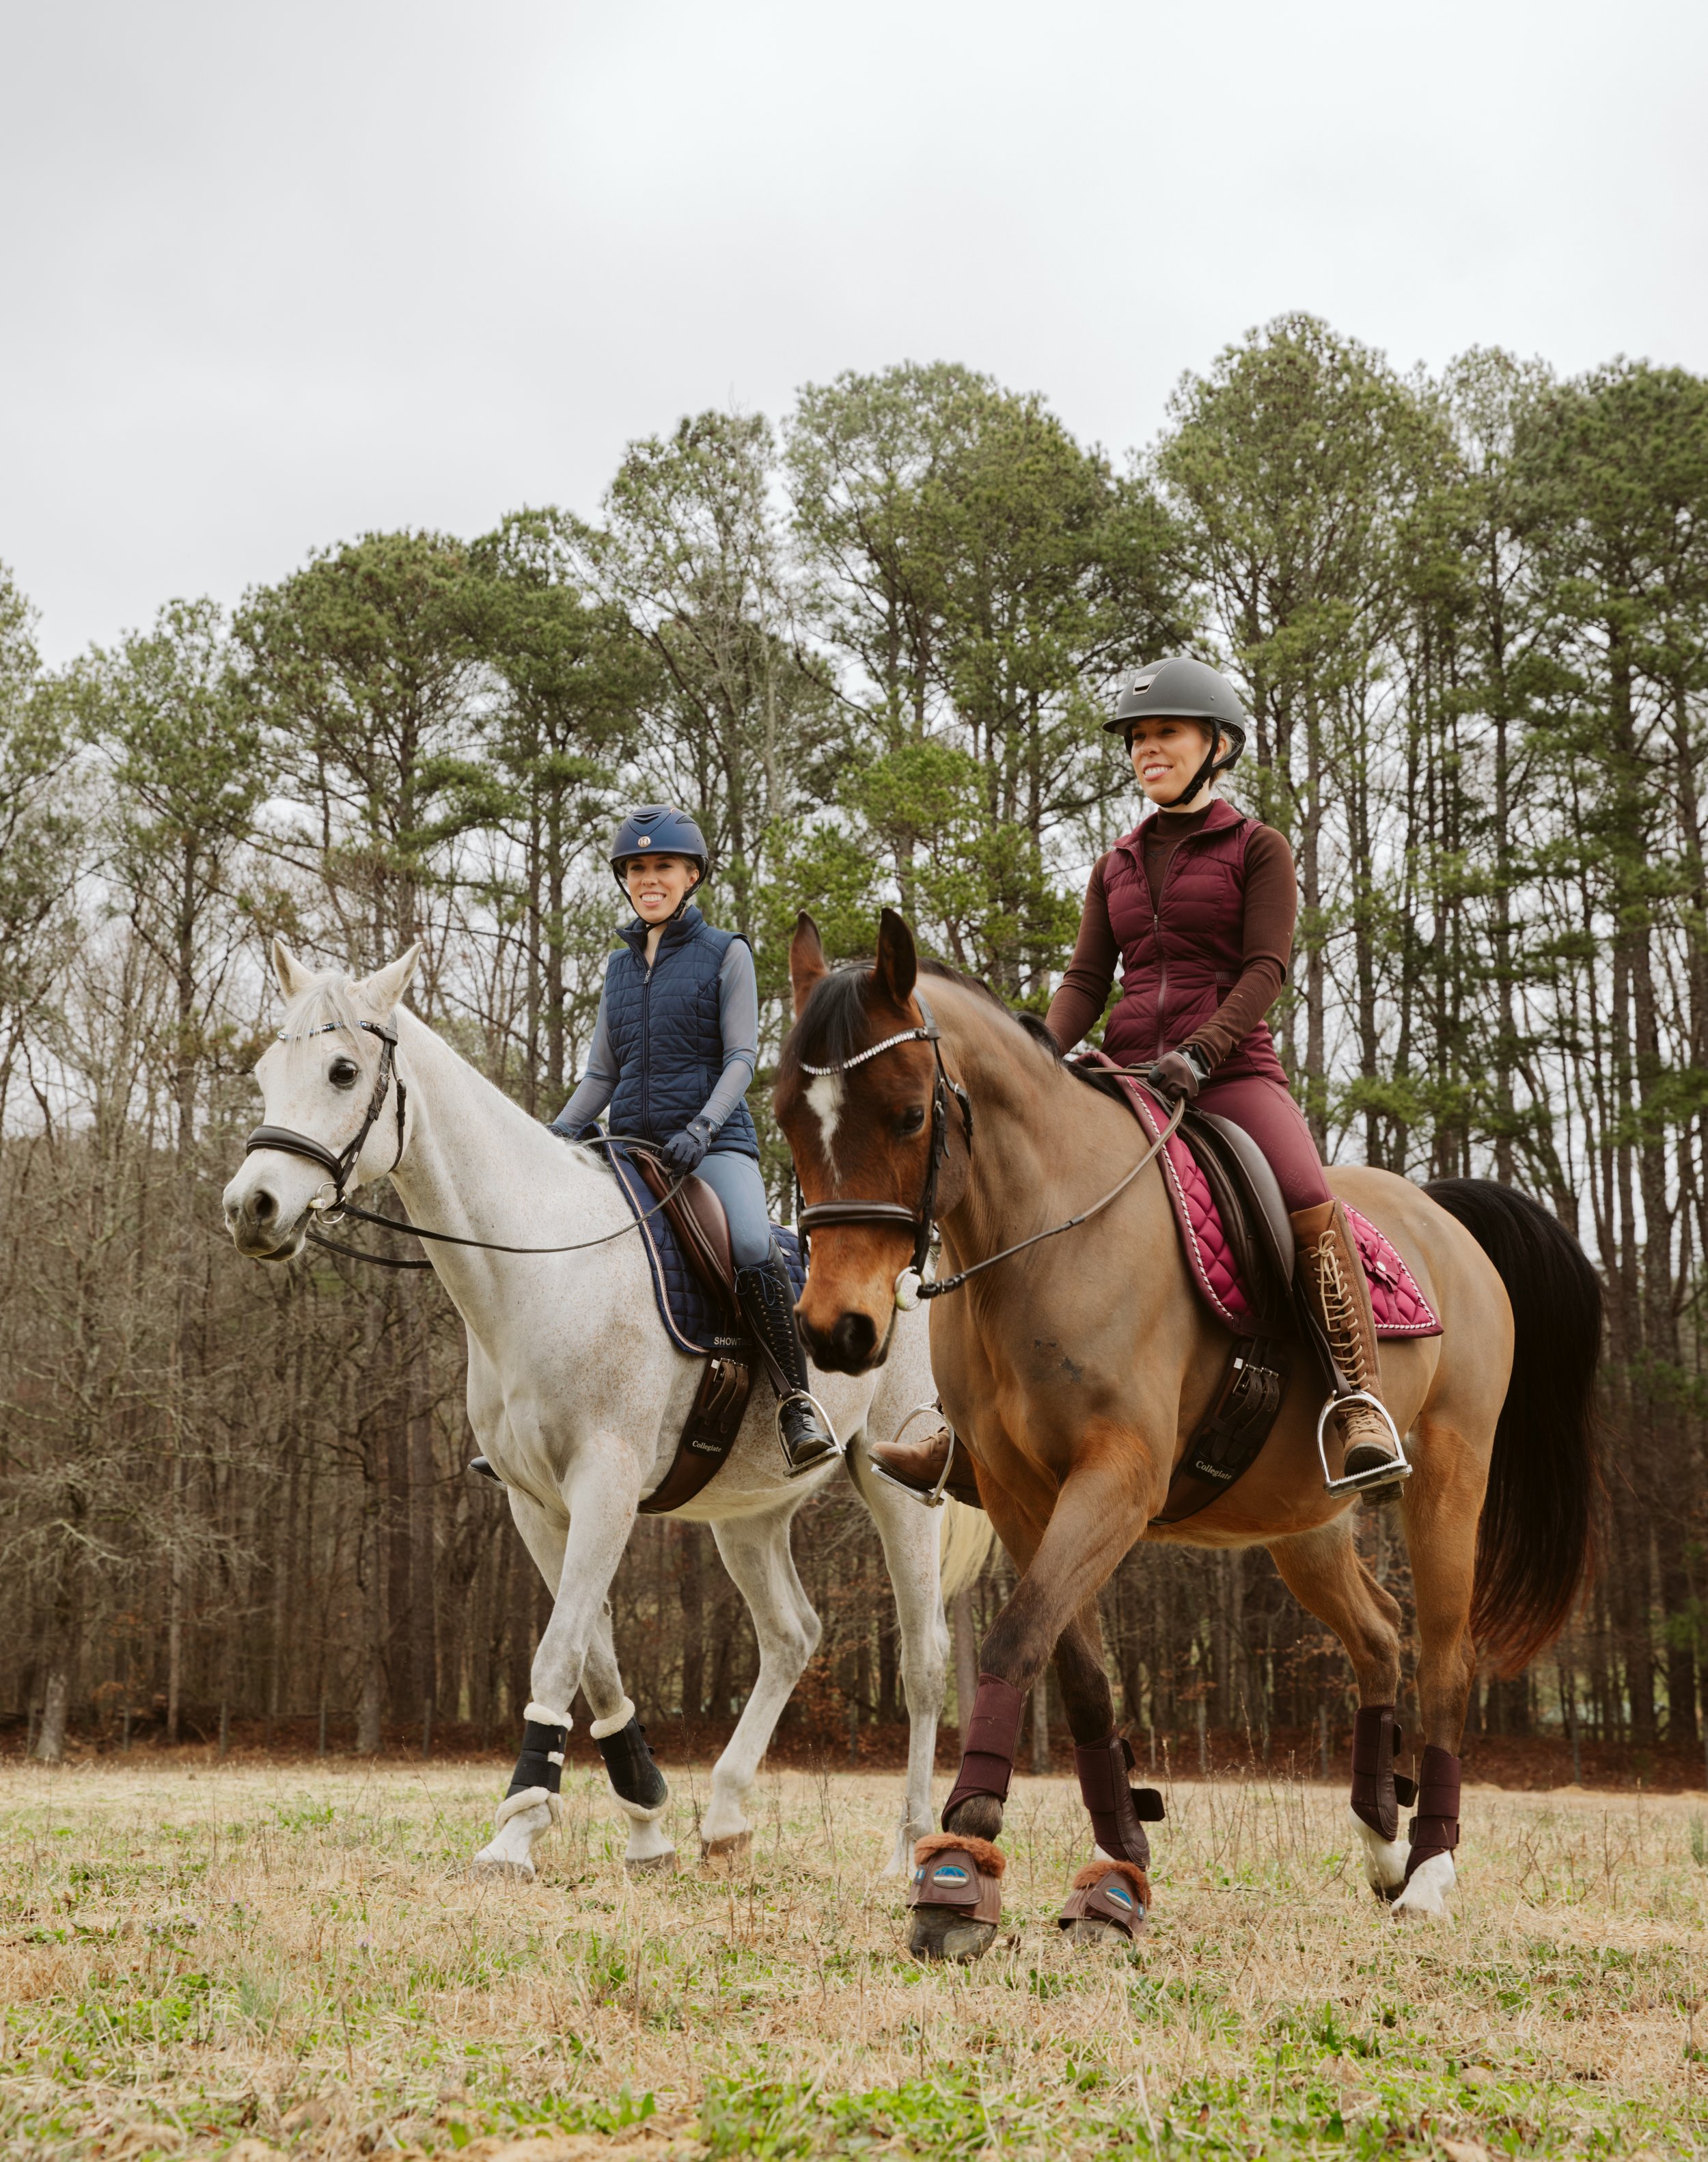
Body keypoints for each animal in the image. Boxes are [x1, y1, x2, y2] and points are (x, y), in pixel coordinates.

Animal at [221, 938, 992, 1880]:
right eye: (265, 1071)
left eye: (341, 1070)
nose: (251, 1207)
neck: (541, 1263)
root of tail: (919, 1272)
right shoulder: (536, 1502)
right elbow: (594, 1659)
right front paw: (645, 1817)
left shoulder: (606, 1486)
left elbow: (558, 1654)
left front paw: (516, 1829)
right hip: (747, 1514)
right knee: (791, 1634)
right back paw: (724, 1817)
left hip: (897, 1486)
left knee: (923, 1659)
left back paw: (912, 1843)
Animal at [774, 910, 1600, 1948]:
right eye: (786, 1117)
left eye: (908, 1115)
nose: (834, 1329)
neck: (1044, 1239)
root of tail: (1442, 1215)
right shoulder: (1019, 1494)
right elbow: (1075, 1669)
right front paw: (1119, 1859)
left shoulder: (1117, 1480)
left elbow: (1014, 1640)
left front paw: (958, 1864)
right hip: (1303, 1521)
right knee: (1378, 1634)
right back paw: (1380, 1837)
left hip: (1451, 1480)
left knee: (1446, 1662)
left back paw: (1429, 1870)